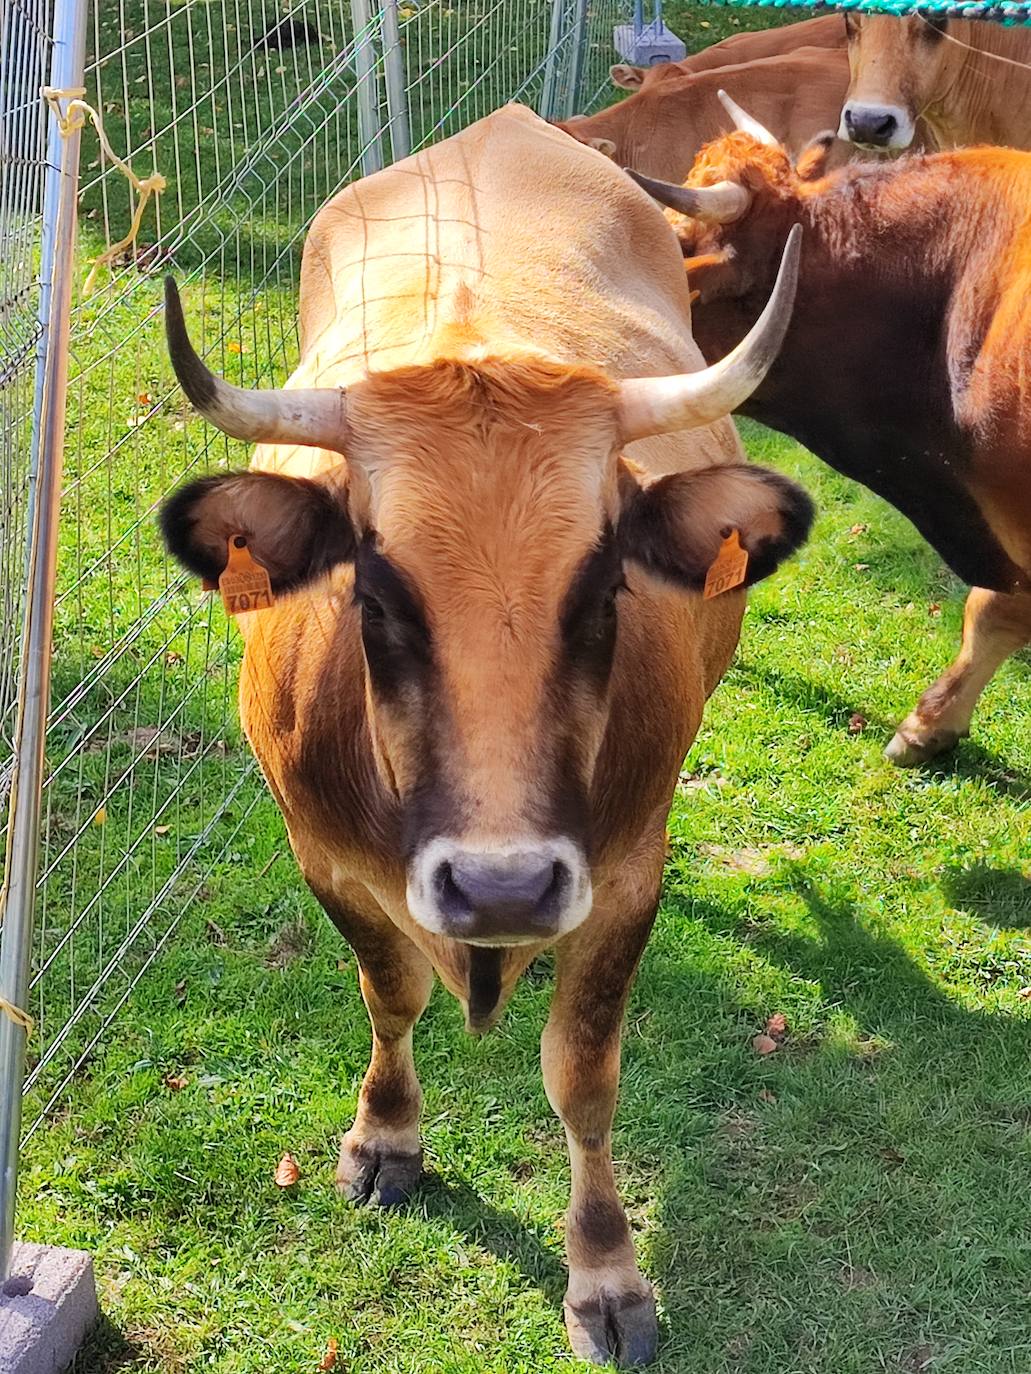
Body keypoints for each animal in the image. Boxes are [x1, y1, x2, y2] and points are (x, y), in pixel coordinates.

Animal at [157, 104, 813, 1363]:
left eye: (604, 587)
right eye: (372, 595)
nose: (502, 887)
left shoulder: (625, 876)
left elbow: (581, 1078)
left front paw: (604, 1276)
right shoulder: (325, 860)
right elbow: (389, 993)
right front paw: (385, 1139)